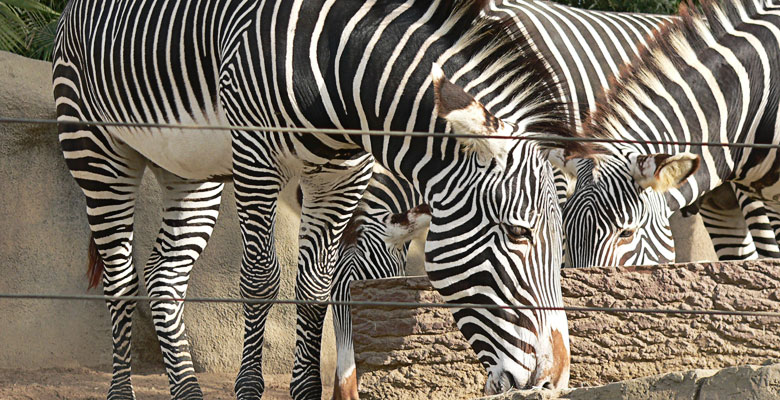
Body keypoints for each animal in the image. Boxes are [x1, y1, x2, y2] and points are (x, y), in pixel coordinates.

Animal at [53, 0, 581, 398]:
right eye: (518, 233)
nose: (555, 382)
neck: (346, 74)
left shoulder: (342, 176)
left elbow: (313, 288)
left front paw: (305, 392)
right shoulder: (256, 159)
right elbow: (262, 280)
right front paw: (250, 389)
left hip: (190, 169)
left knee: (164, 278)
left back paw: (187, 393)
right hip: (96, 148)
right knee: (121, 278)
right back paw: (122, 392)